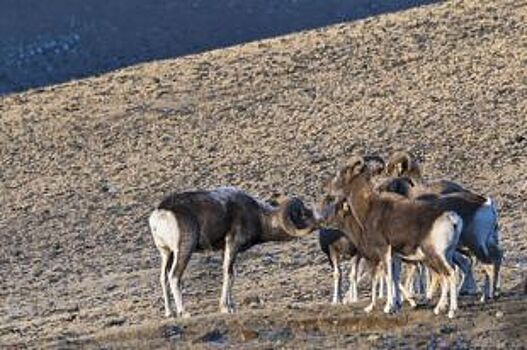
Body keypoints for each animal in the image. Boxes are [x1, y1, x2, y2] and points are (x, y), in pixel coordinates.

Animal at [150, 187, 322, 318]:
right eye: (304, 213)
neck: (259, 216)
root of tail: (160, 214)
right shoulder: (232, 245)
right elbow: (228, 274)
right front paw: (225, 308)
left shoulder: (225, 250)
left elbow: (232, 275)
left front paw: (231, 306)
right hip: (184, 250)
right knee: (174, 276)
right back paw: (183, 313)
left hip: (167, 254)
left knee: (163, 278)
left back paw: (170, 313)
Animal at [320, 157, 464, 318]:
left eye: (344, 171)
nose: (326, 187)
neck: (369, 209)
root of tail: (452, 219)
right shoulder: (394, 254)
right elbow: (395, 277)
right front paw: (396, 305)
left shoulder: (384, 250)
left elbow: (388, 276)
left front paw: (388, 307)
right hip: (447, 255)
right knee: (447, 275)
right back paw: (440, 308)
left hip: (435, 256)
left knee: (450, 274)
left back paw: (451, 311)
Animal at [382, 150, 502, 300]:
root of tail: (487, 203)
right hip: (485, 242)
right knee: (495, 257)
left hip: (475, 244)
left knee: (486, 263)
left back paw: (485, 295)